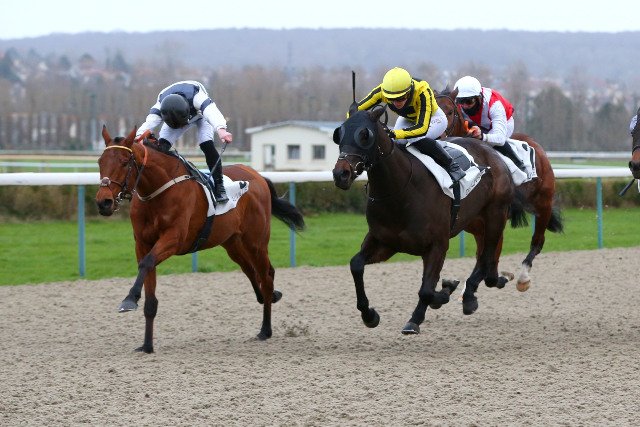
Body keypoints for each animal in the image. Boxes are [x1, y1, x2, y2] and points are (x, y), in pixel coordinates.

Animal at [95, 126, 305, 353]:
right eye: (100, 162)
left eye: (125, 162)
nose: (103, 202)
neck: (158, 191)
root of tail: (257, 176)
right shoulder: (142, 244)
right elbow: (149, 286)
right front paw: (147, 345)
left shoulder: (174, 239)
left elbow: (147, 263)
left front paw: (129, 299)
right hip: (232, 243)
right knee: (251, 271)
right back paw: (271, 297)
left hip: (255, 241)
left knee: (266, 276)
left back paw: (265, 329)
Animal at [332, 105, 518, 334]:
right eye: (339, 134)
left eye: (365, 135)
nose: (341, 174)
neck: (400, 190)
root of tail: (489, 149)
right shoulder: (385, 242)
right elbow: (356, 265)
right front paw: (369, 315)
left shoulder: (438, 244)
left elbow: (427, 289)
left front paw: (418, 317)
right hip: (475, 221)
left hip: (495, 215)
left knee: (486, 255)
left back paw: (474, 292)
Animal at [435, 89, 563, 292]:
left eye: (449, 112)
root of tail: (535, 145)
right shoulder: (478, 228)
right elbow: (484, 261)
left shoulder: (495, 222)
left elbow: (489, 264)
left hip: (544, 205)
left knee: (538, 241)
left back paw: (523, 277)